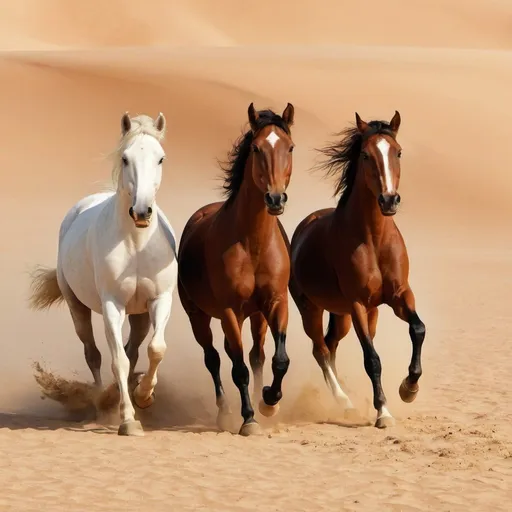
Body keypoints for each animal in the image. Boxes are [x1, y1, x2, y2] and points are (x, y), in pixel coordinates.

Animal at [30, 112, 179, 436]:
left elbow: (156, 349)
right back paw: (100, 401)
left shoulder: (160, 300)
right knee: (94, 353)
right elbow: (117, 361)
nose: (142, 212)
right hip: (78, 307)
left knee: (134, 348)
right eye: (125, 158)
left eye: (161, 158)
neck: (136, 244)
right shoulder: (113, 304)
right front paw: (128, 419)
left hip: (138, 315)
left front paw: (145, 395)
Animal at [178, 103, 294, 436]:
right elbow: (237, 368)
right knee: (215, 358)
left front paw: (269, 401)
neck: (252, 244)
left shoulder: (277, 303)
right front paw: (249, 418)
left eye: (289, 147)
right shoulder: (230, 310)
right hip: (200, 317)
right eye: (257, 148)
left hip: (255, 316)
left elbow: (279, 360)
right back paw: (226, 411)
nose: (275, 198)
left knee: (256, 355)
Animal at [290, 112, 426, 428]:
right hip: (312, 309)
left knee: (331, 345)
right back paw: (345, 403)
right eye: (366, 155)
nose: (389, 200)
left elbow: (418, 328)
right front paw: (384, 412)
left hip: (345, 315)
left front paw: (409, 388)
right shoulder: (357, 305)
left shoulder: (400, 295)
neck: (374, 239)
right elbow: (372, 359)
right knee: (320, 349)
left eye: (398, 152)